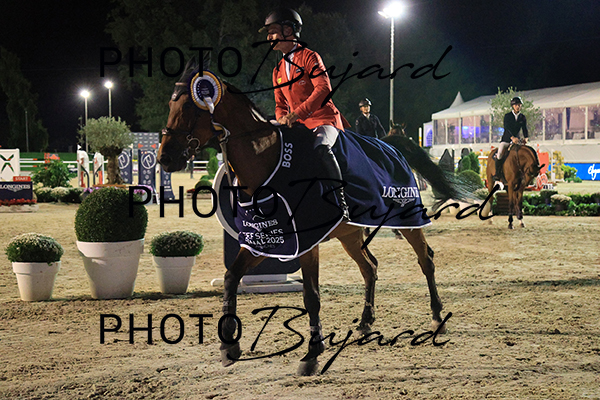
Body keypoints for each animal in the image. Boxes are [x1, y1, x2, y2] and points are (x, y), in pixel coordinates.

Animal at [158, 59, 458, 375]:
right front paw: (229, 345)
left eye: (189, 107)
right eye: (170, 104)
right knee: (370, 268)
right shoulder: (264, 240)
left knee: (425, 260)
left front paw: (312, 354)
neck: (269, 161)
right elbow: (231, 278)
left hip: (408, 221)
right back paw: (366, 323)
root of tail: (390, 146)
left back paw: (437, 317)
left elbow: (311, 295)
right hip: (350, 235)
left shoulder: (306, 243)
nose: (164, 158)